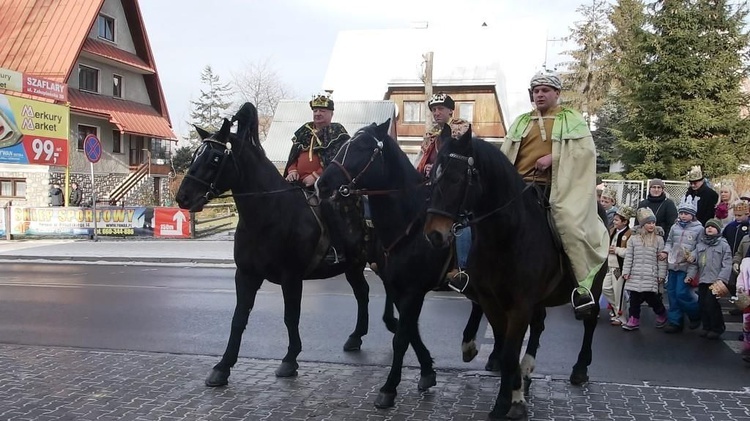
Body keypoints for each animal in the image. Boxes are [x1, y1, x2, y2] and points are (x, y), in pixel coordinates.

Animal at [177, 103, 400, 386]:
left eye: (215, 158)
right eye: (196, 154)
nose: (183, 197)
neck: (270, 213)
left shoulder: (291, 277)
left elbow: (290, 317)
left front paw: (289, 359)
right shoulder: (246, 275)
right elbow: (239, 318)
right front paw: (223, 366)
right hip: (353, 265)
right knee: (362, 293)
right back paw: (355, 336)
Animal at [314, 120, 502, 408]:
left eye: (362, 147)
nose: (321, 184)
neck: (409, 225)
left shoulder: (414, 289)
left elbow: (402, 337)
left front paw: (389, 388)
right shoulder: (396, 284)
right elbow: (408, 327)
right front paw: (426, 370)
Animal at [426, 126, 608, 418]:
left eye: (455, 178)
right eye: (432, 178)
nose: (434, 235)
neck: (507, 235)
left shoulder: (520, 303)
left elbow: (510, 351)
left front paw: (506, 402)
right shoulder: (493, 300)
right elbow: (504, 347)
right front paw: (514, 392)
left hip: (593, 282)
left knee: (589, 320)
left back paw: (580, 369)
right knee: (539, 324)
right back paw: (527, 371)